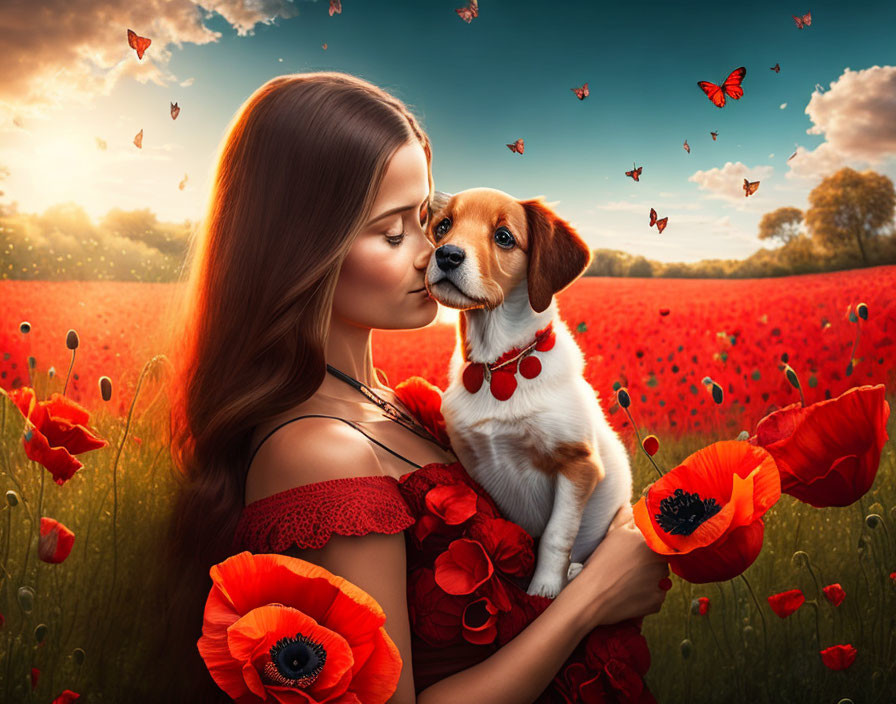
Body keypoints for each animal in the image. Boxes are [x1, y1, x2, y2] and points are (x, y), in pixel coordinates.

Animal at [424, 188, 632, 600]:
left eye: (504, 236)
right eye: (443, 226)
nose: (447, 255)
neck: (497, 365)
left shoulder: (579, 463)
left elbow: (555, 534)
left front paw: (544, 590)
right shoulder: (474, 464)